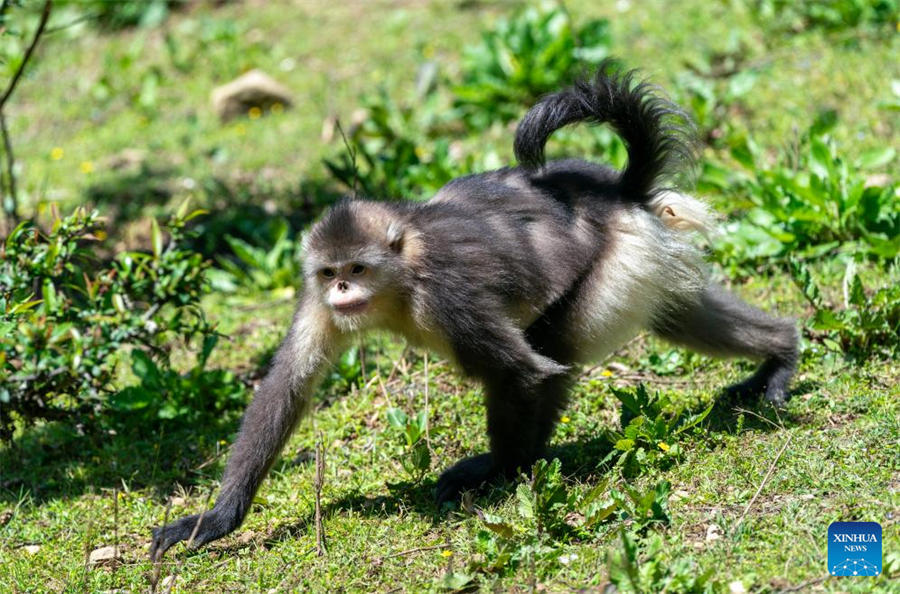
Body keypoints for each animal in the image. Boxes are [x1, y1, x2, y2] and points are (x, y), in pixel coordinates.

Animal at [149, 61, 800, 556]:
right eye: (332, 274)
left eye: (358, 270)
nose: (342, 294)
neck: (401, 276)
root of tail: (617, 190)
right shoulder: (314, 297)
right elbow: (289, 383)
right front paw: (216, 520)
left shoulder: (446, 296)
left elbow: (524, 371)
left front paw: (502, 476)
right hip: (643, 256)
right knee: (675, 311)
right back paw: (782, 350)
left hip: (617, 260)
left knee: (553, 348)